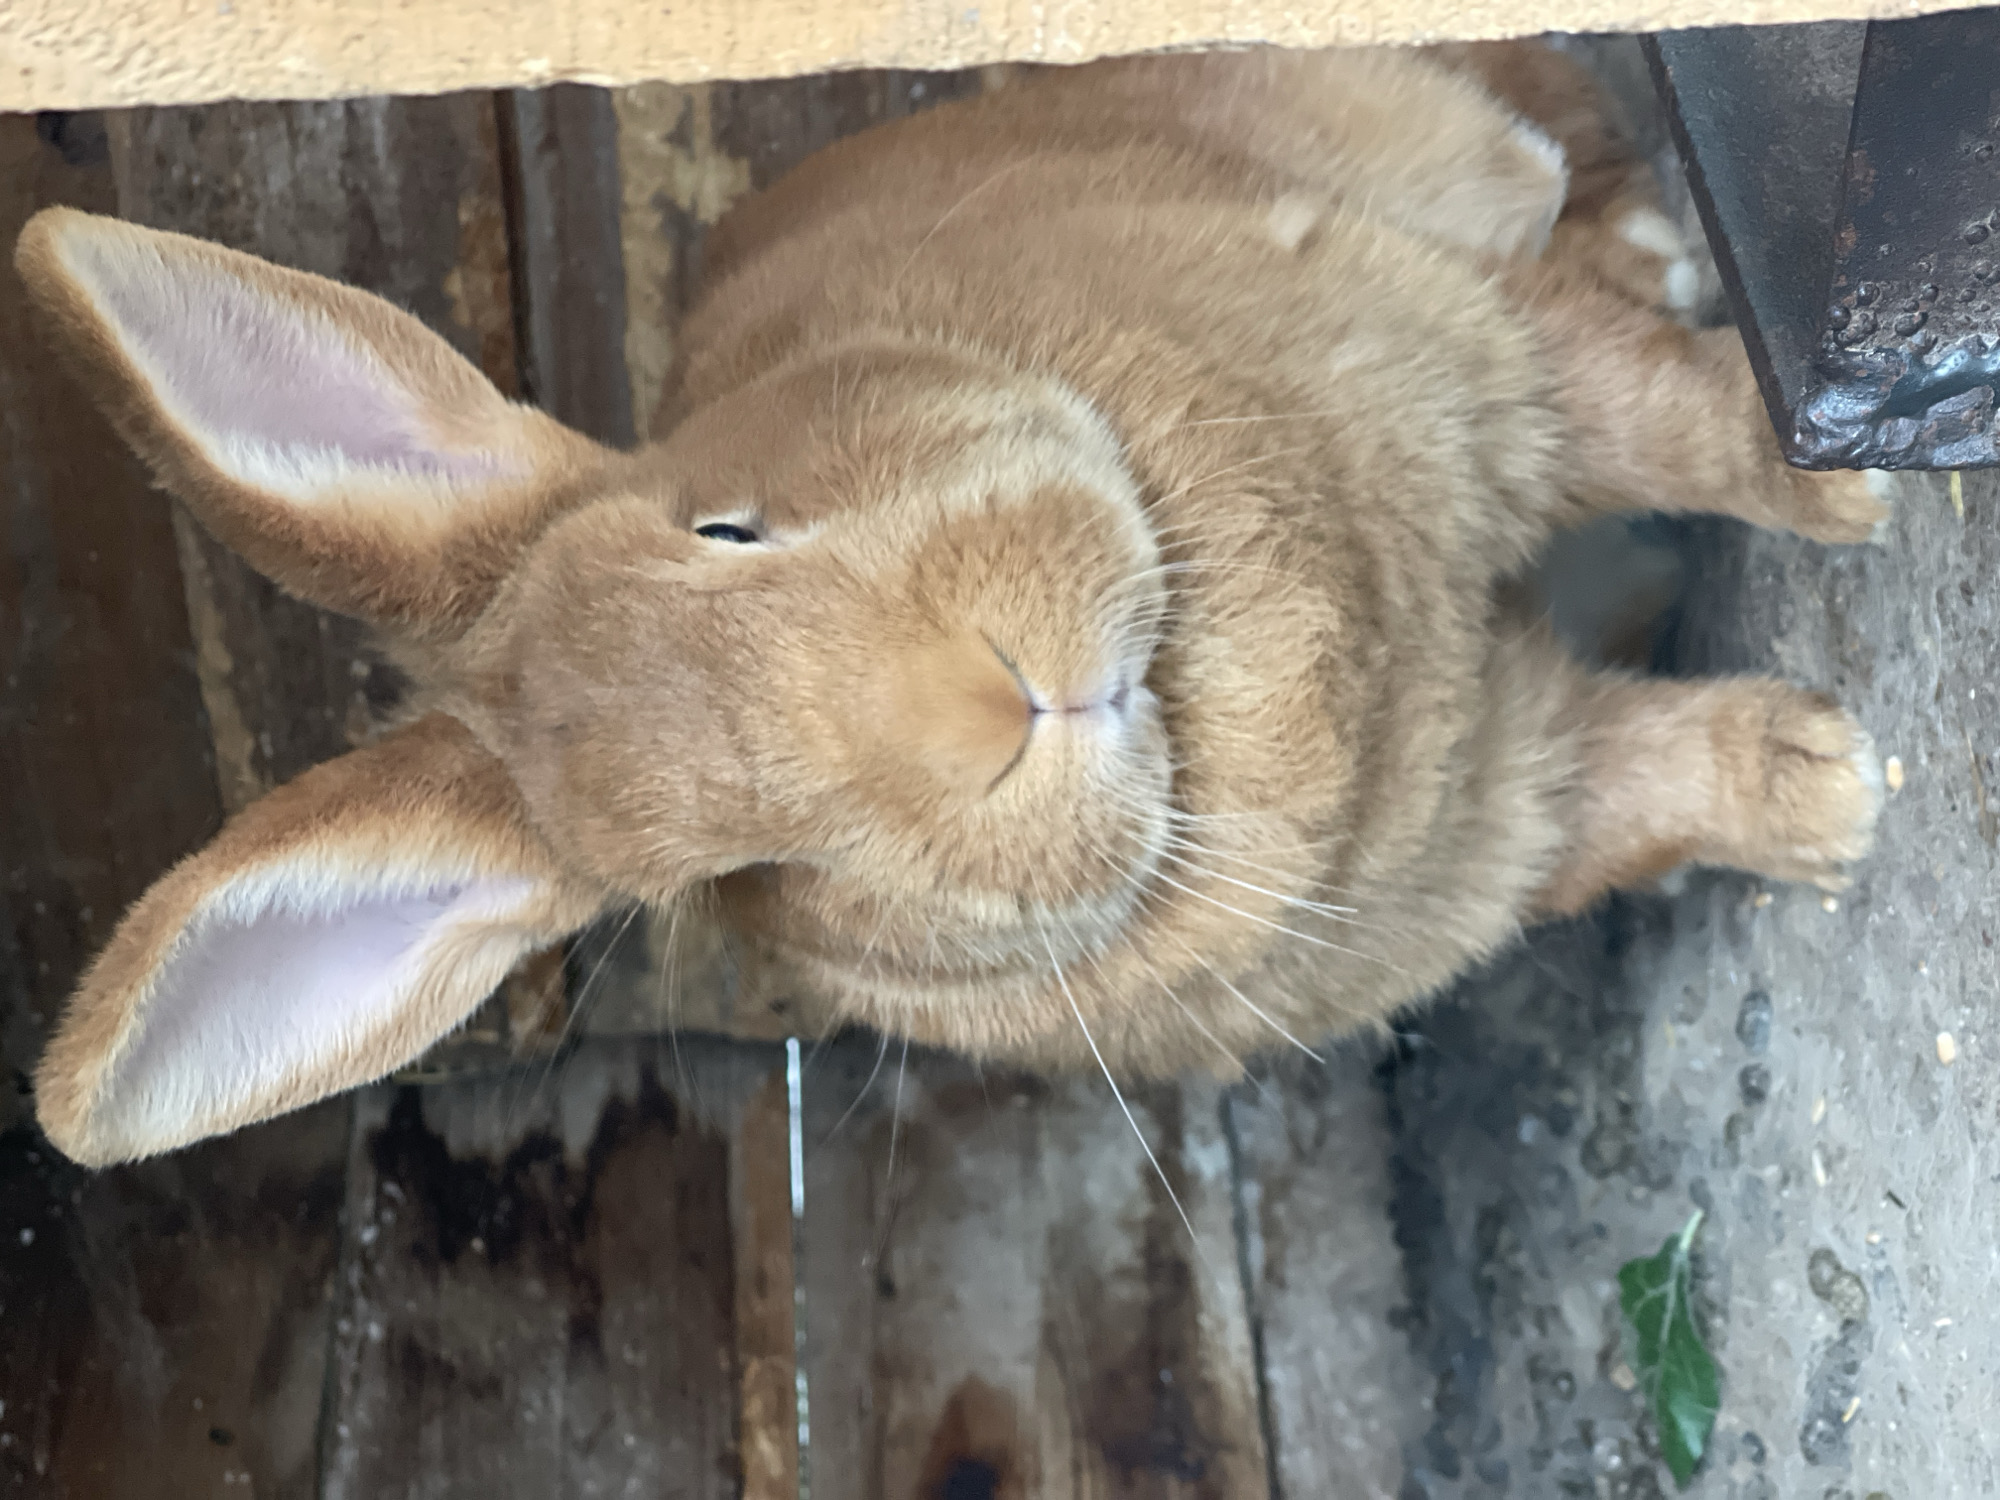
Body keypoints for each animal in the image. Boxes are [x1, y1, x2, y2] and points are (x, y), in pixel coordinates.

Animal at [17, 40, 1889, 1168]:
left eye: (729, 524)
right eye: (745, 869)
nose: (1001, 707)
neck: (1210, 690)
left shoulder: (1493, 363)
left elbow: (1669, 416)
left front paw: (1848, 484)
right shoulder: (1497, 818)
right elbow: (1637, 791)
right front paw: (1831, 797)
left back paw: (1653, 236)